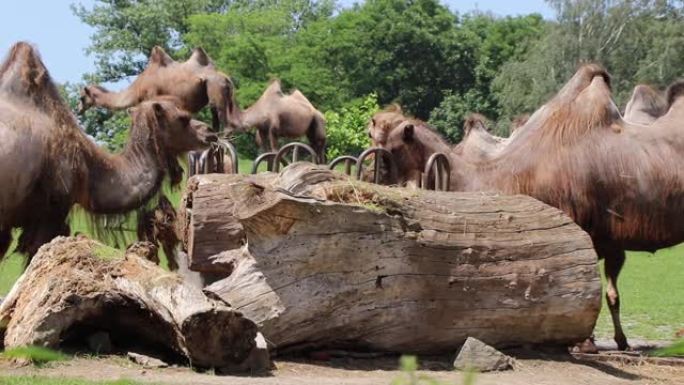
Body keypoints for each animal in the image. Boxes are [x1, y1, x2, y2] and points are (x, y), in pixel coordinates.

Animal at [78, 46, 235, 130]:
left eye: (81, 97)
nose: (78, 110)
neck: (136, 89)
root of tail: (226, 78)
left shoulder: (153, 99)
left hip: (215, 89)